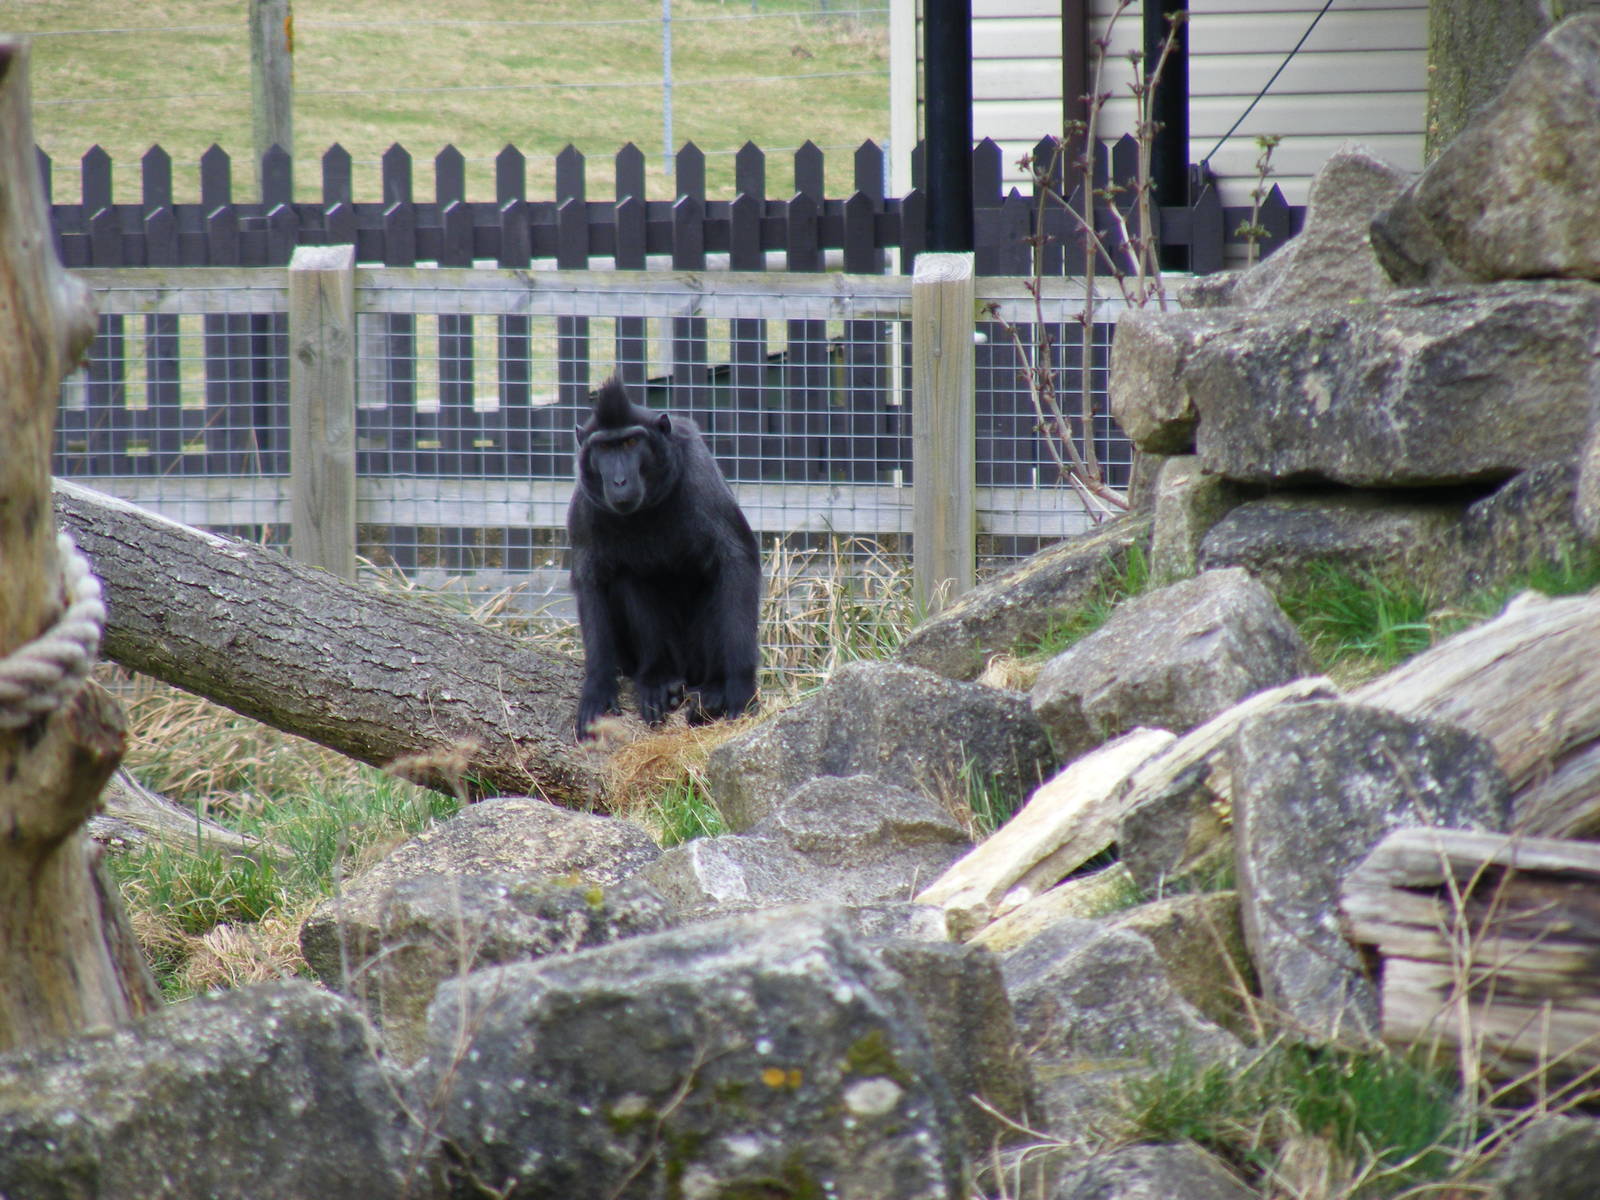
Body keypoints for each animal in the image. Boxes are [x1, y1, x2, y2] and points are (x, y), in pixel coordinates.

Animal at [566, 376, 761, 739]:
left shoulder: (698, 470)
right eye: (605, 449)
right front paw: (598, 685)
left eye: (631, 442)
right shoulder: (587, 502)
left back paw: (713, 688)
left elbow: (735, 561)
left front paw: (740, 686)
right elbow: (590, 580)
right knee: (629, 578)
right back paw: (659, 678)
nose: (619, 481)